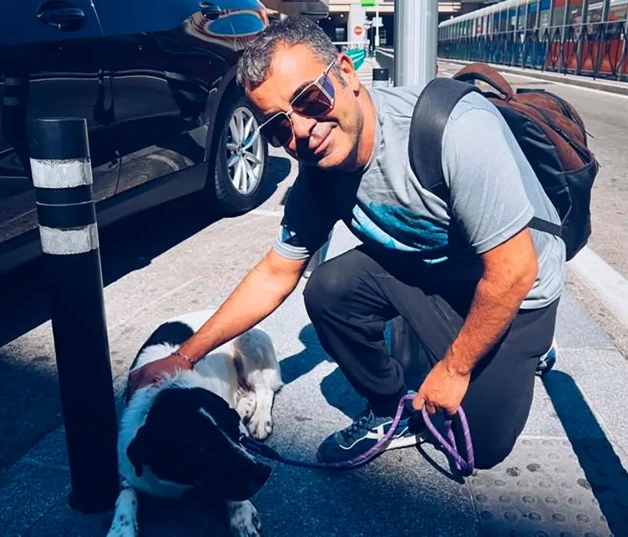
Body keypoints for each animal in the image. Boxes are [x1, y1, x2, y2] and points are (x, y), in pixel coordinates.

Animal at [106, 308, 284, 536]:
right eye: (202, 449)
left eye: (234, 433)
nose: (265, 473)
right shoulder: (125, 462)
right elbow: (125, 495)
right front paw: (121, 528)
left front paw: (241, 513)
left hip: (250, 341)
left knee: (263, 389)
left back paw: (260, 418)